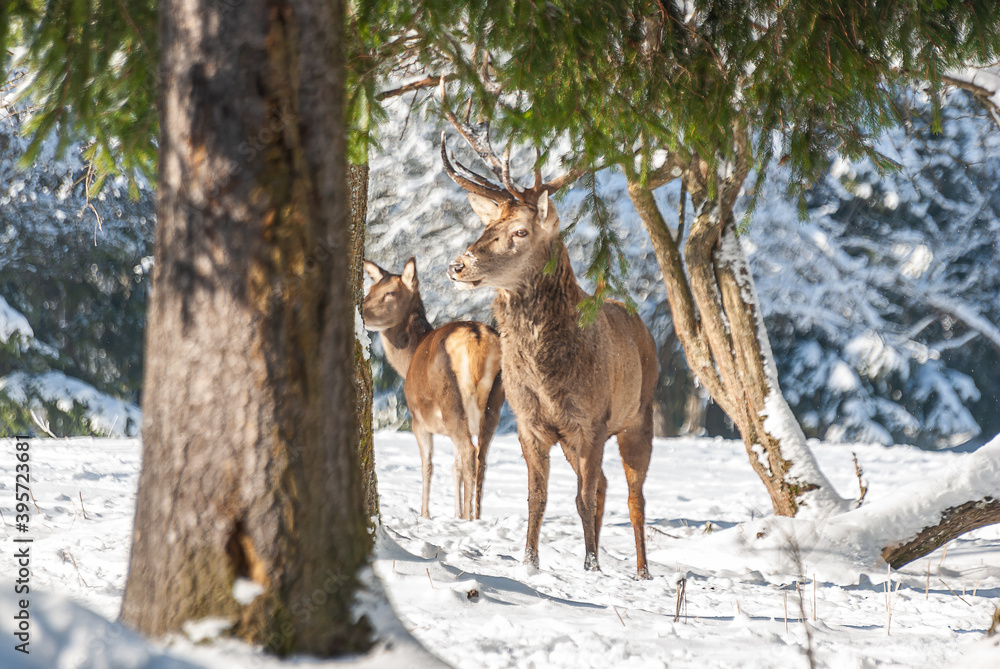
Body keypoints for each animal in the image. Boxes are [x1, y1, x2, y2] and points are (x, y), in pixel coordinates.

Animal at [362, 256, 504, 520]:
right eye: (369, 290)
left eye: (390, 293)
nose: (362, 314)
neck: (406, 361)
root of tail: (477, 338)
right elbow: (454, 467)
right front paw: (455, 513)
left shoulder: (418, 419)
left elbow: (427, 466)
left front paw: (425, 514)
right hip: (495, 401)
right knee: (481, 457)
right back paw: (475, 516)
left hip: (450, 400)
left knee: (469, 453)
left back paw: (469, 518)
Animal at [438, 90, 659, 578]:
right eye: (487, 227)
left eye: (520, 231)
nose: (458, 264)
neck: (547, 375)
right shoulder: (530, 422)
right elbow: (537, 497)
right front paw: (530, 562)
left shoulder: (592, 420)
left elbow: (581, 498)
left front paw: (591, 568)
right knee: (605, 485)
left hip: (640, 414)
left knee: (634, 495)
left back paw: (641, 570)